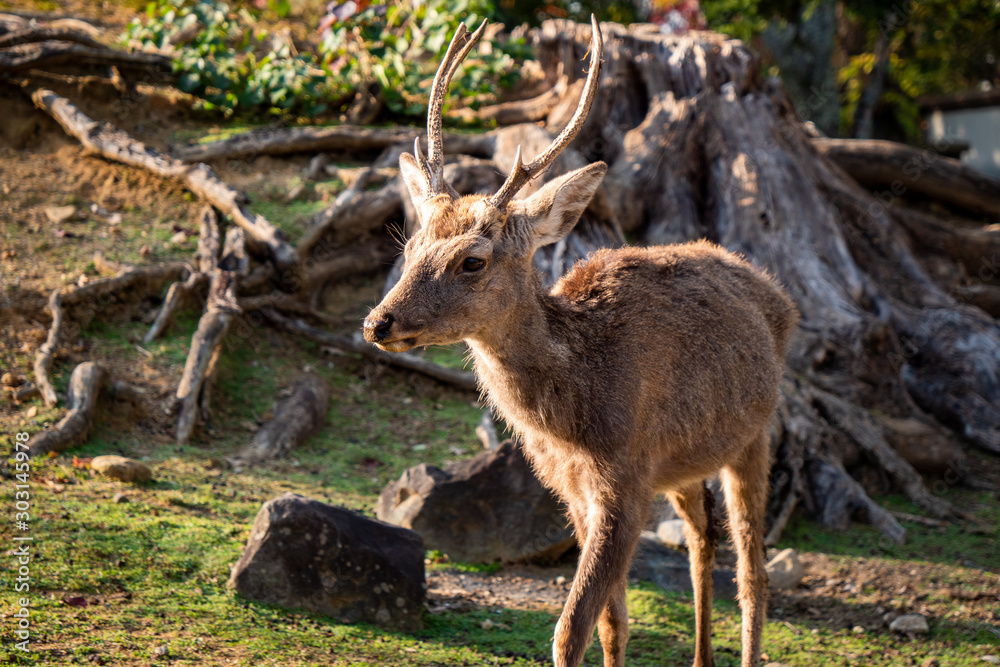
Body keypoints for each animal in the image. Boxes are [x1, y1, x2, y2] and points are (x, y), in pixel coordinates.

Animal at [363, 17, 798, 667]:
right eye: (410, 245)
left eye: (472, 260)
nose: (378, 323)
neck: (574, 415)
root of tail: (777, 295)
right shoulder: (572, 487)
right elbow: (613, 623)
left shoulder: (626, 478)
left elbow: (570, 631)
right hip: (684, 462)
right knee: (702, 541)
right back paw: (700, 655)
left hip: (755, 435)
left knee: (753, 574)